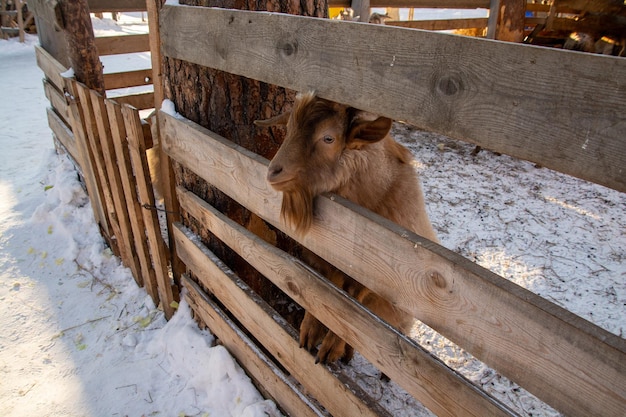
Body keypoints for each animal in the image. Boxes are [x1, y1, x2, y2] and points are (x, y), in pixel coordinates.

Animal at [256, 92, 436, 364]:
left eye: (328, 138)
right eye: (288, 128)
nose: (273, 172)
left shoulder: (371, 279)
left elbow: (351, 311)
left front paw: (331, 347)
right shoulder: (321, 260)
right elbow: (320, 292)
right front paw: (309, 331)